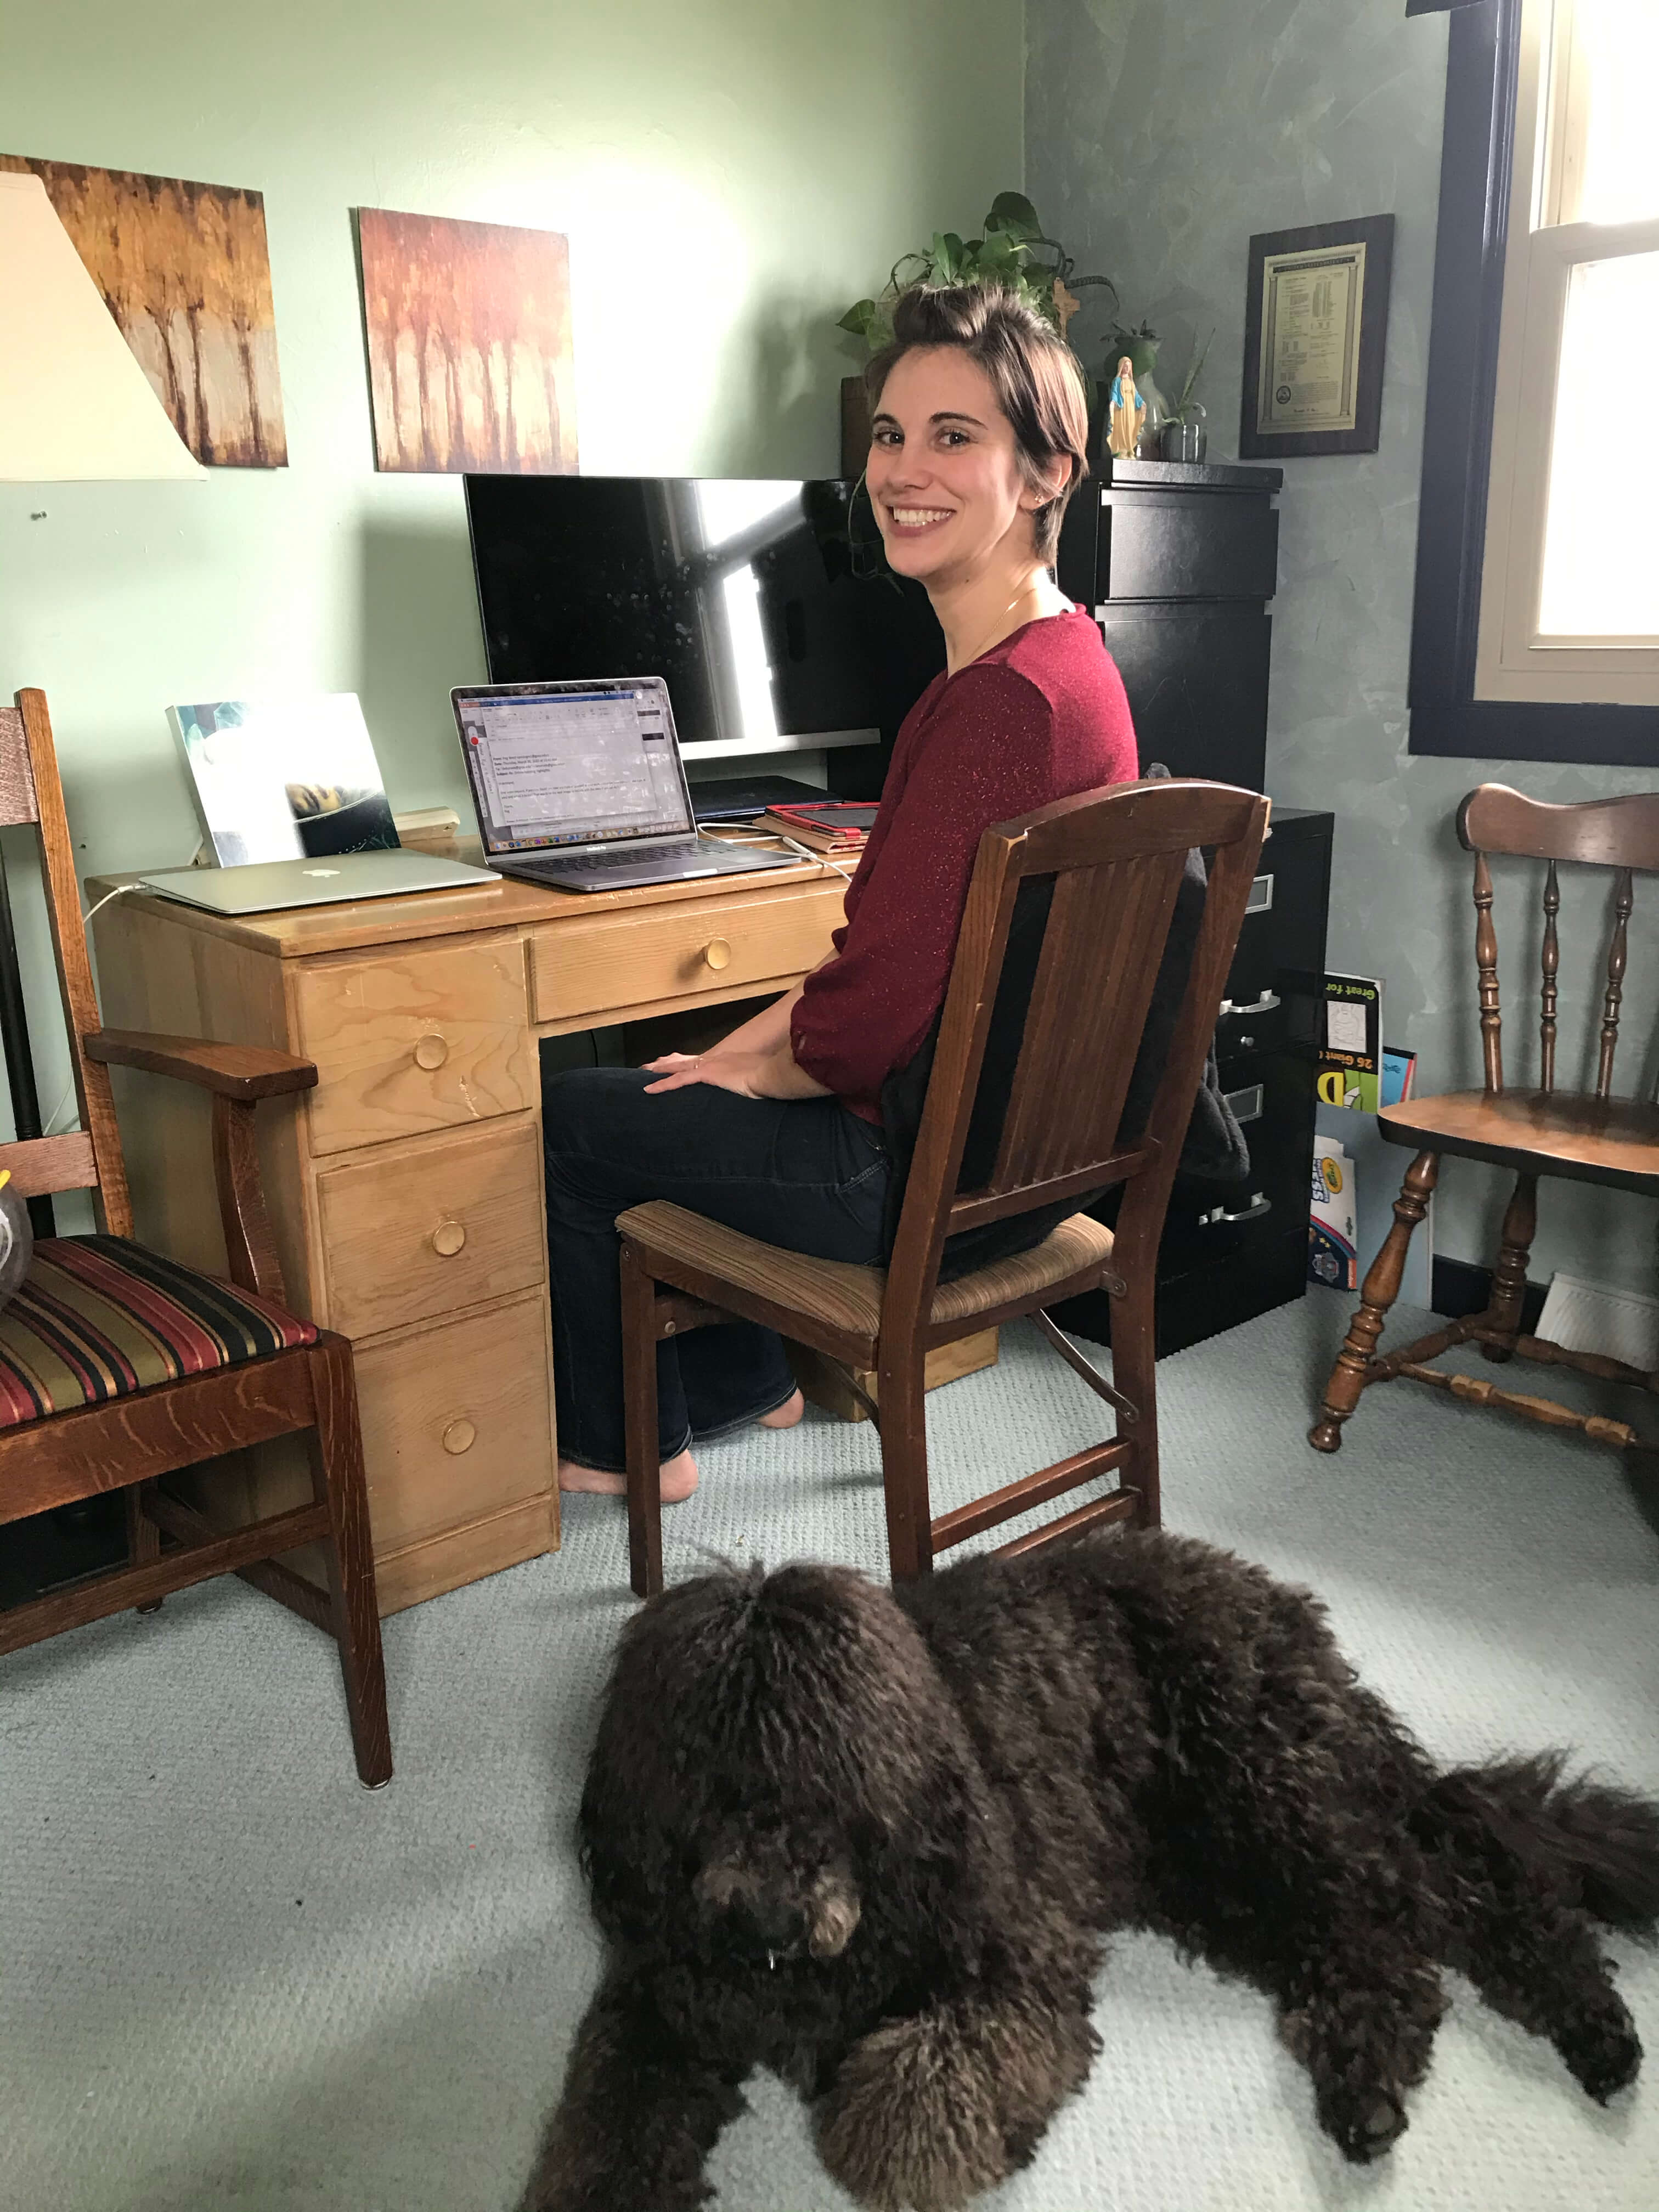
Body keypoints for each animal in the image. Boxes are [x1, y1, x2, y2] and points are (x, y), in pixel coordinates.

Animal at [522, 1539, 1659, 2212]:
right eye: (702, 1780)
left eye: (828, 1777)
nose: (763, 1917)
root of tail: (1285, 1611)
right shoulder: (659, 2004)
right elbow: (607, 2124)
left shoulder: (1013, 1964)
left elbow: (915, 2090)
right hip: (1223, 1872)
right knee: (1380, 1954)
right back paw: (1376, 2088)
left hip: (1281, 1808)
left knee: (1460, 1895)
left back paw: (1585, 2033)